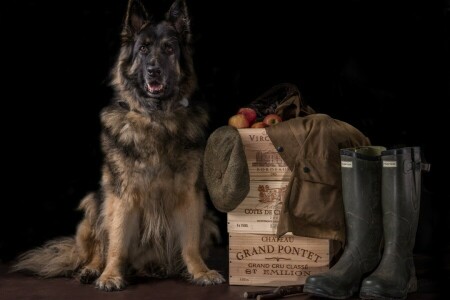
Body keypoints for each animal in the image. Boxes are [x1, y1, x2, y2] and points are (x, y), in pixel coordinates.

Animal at [11, 0, 225, 290]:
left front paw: (201, 271)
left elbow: (190, 243)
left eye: (169, 49)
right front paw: (110, 275)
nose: (154, 71)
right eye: (143, 49)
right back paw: (92, 270)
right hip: (94, 204)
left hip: (206, 220)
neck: (156, 118)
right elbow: (117, 242)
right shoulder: (122, 195)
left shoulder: (190, 194)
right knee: (96, 249)